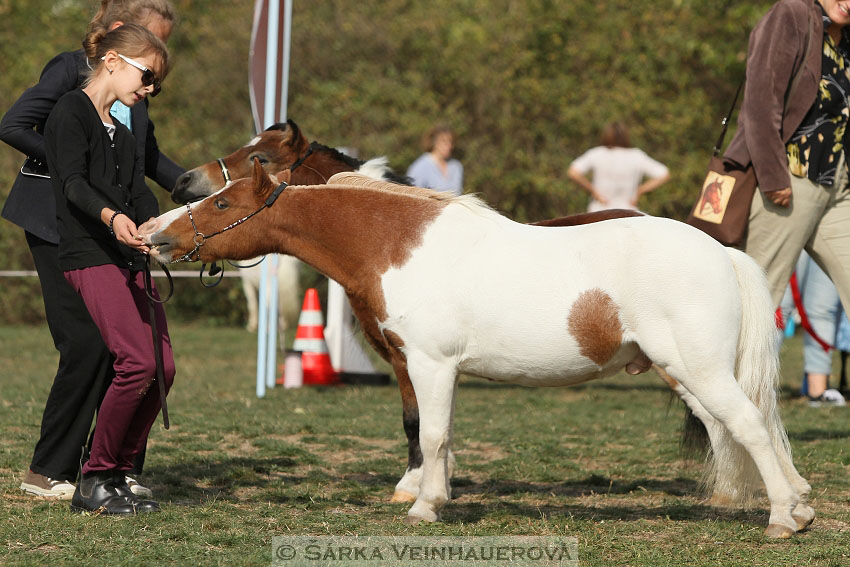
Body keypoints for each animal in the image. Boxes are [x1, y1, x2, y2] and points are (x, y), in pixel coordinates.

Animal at [141, 163, 816, 536]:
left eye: (223, 203)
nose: (155, 235)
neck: (398, 244)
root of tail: (722, 252)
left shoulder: (429, 363)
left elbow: (432, 435)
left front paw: (424, 507)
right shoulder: (433, 370)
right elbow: (437, 434)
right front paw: (432, 496)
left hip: (697, 370)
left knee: (750, 427)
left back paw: (784, 519)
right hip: (688, 374)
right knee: (759, 428)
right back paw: (800, 505)